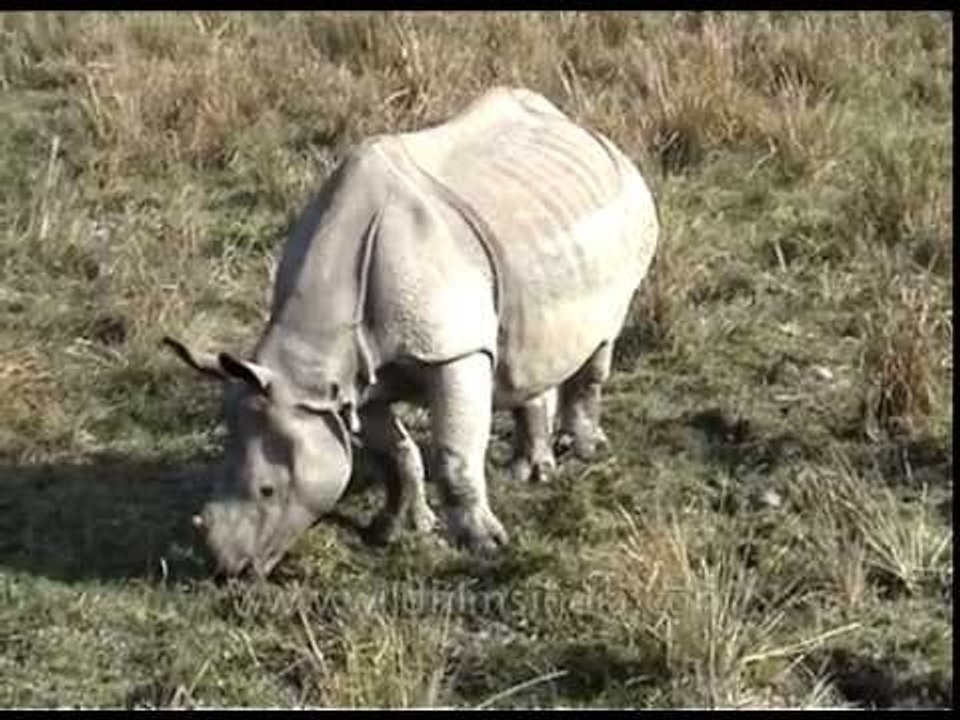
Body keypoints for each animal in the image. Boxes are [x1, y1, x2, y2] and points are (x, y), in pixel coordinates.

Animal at [164, 87, 659, 578]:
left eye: (268, 491)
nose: (229, 570)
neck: (311, 364)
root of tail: (583, 129)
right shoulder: (353, 381)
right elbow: (396, 455)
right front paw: (394, 530)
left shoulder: (456, 351)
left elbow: (453, 455)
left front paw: (484, 544)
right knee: (529, 349)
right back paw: (531, 472)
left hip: (630, 212)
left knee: (604, 335)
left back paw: (583, 451)